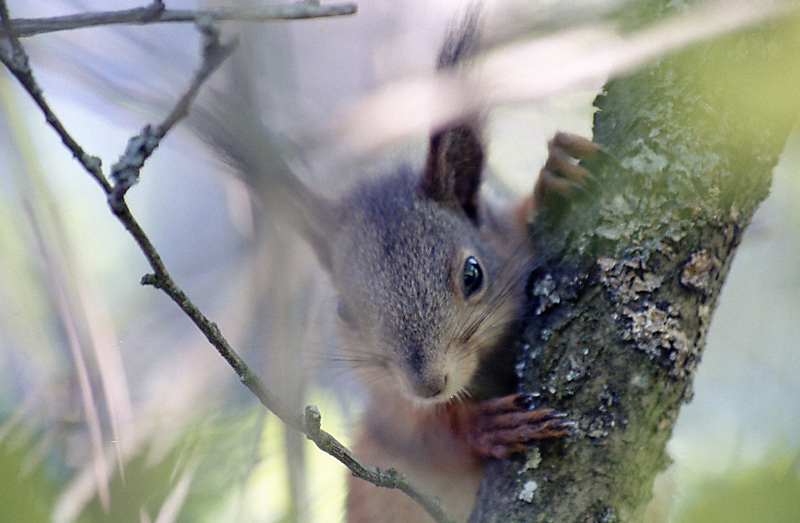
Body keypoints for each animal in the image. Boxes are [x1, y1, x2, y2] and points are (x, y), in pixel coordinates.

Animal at [205, 9, 600, 523]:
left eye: (473, 274)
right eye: (345, 311)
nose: (429, 383)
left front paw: (556, 173)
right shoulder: (391, 412)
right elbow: (429, 437)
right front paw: (489, 425)